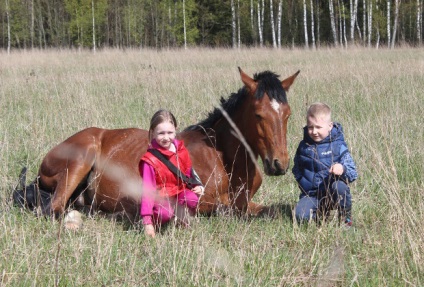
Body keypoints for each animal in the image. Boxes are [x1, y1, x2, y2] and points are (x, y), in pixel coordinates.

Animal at [13, 68, 298, 223]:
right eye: (258, 114)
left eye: (287, 114)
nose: (279, 164)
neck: (221, 157)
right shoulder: (200, 204)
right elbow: (226, 211)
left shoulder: (247, 203)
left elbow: (272, 211)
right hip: (81, 159)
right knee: (55, 208)